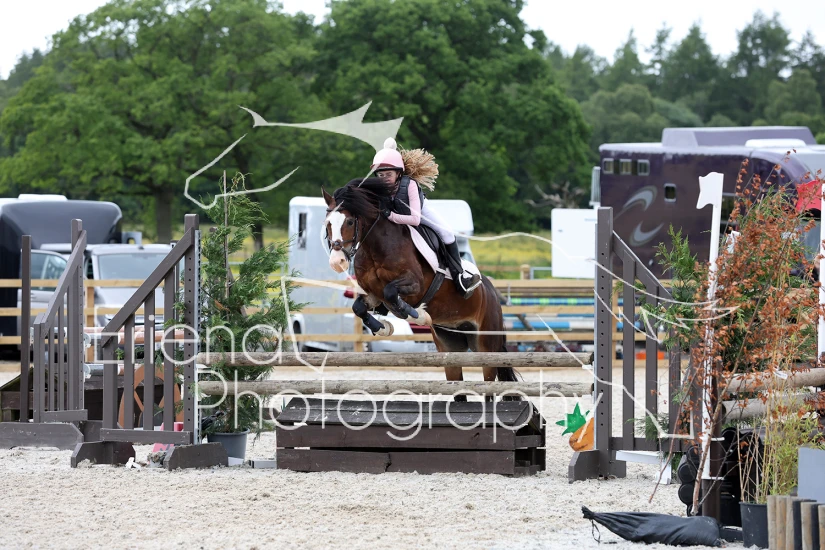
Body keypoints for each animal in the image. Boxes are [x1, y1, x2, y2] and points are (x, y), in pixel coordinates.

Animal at [322, 178, 519, 400]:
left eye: (349, 221)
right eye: (327, 224)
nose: (337, 262)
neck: (376, 247)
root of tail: (492, 292)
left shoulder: (414, 285)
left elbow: (392, 293)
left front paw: (416, 315)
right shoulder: (373, 294)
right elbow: (359, 307)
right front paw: (380, 327)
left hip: (486, 344)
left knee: (489, 383)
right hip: (450, 345)